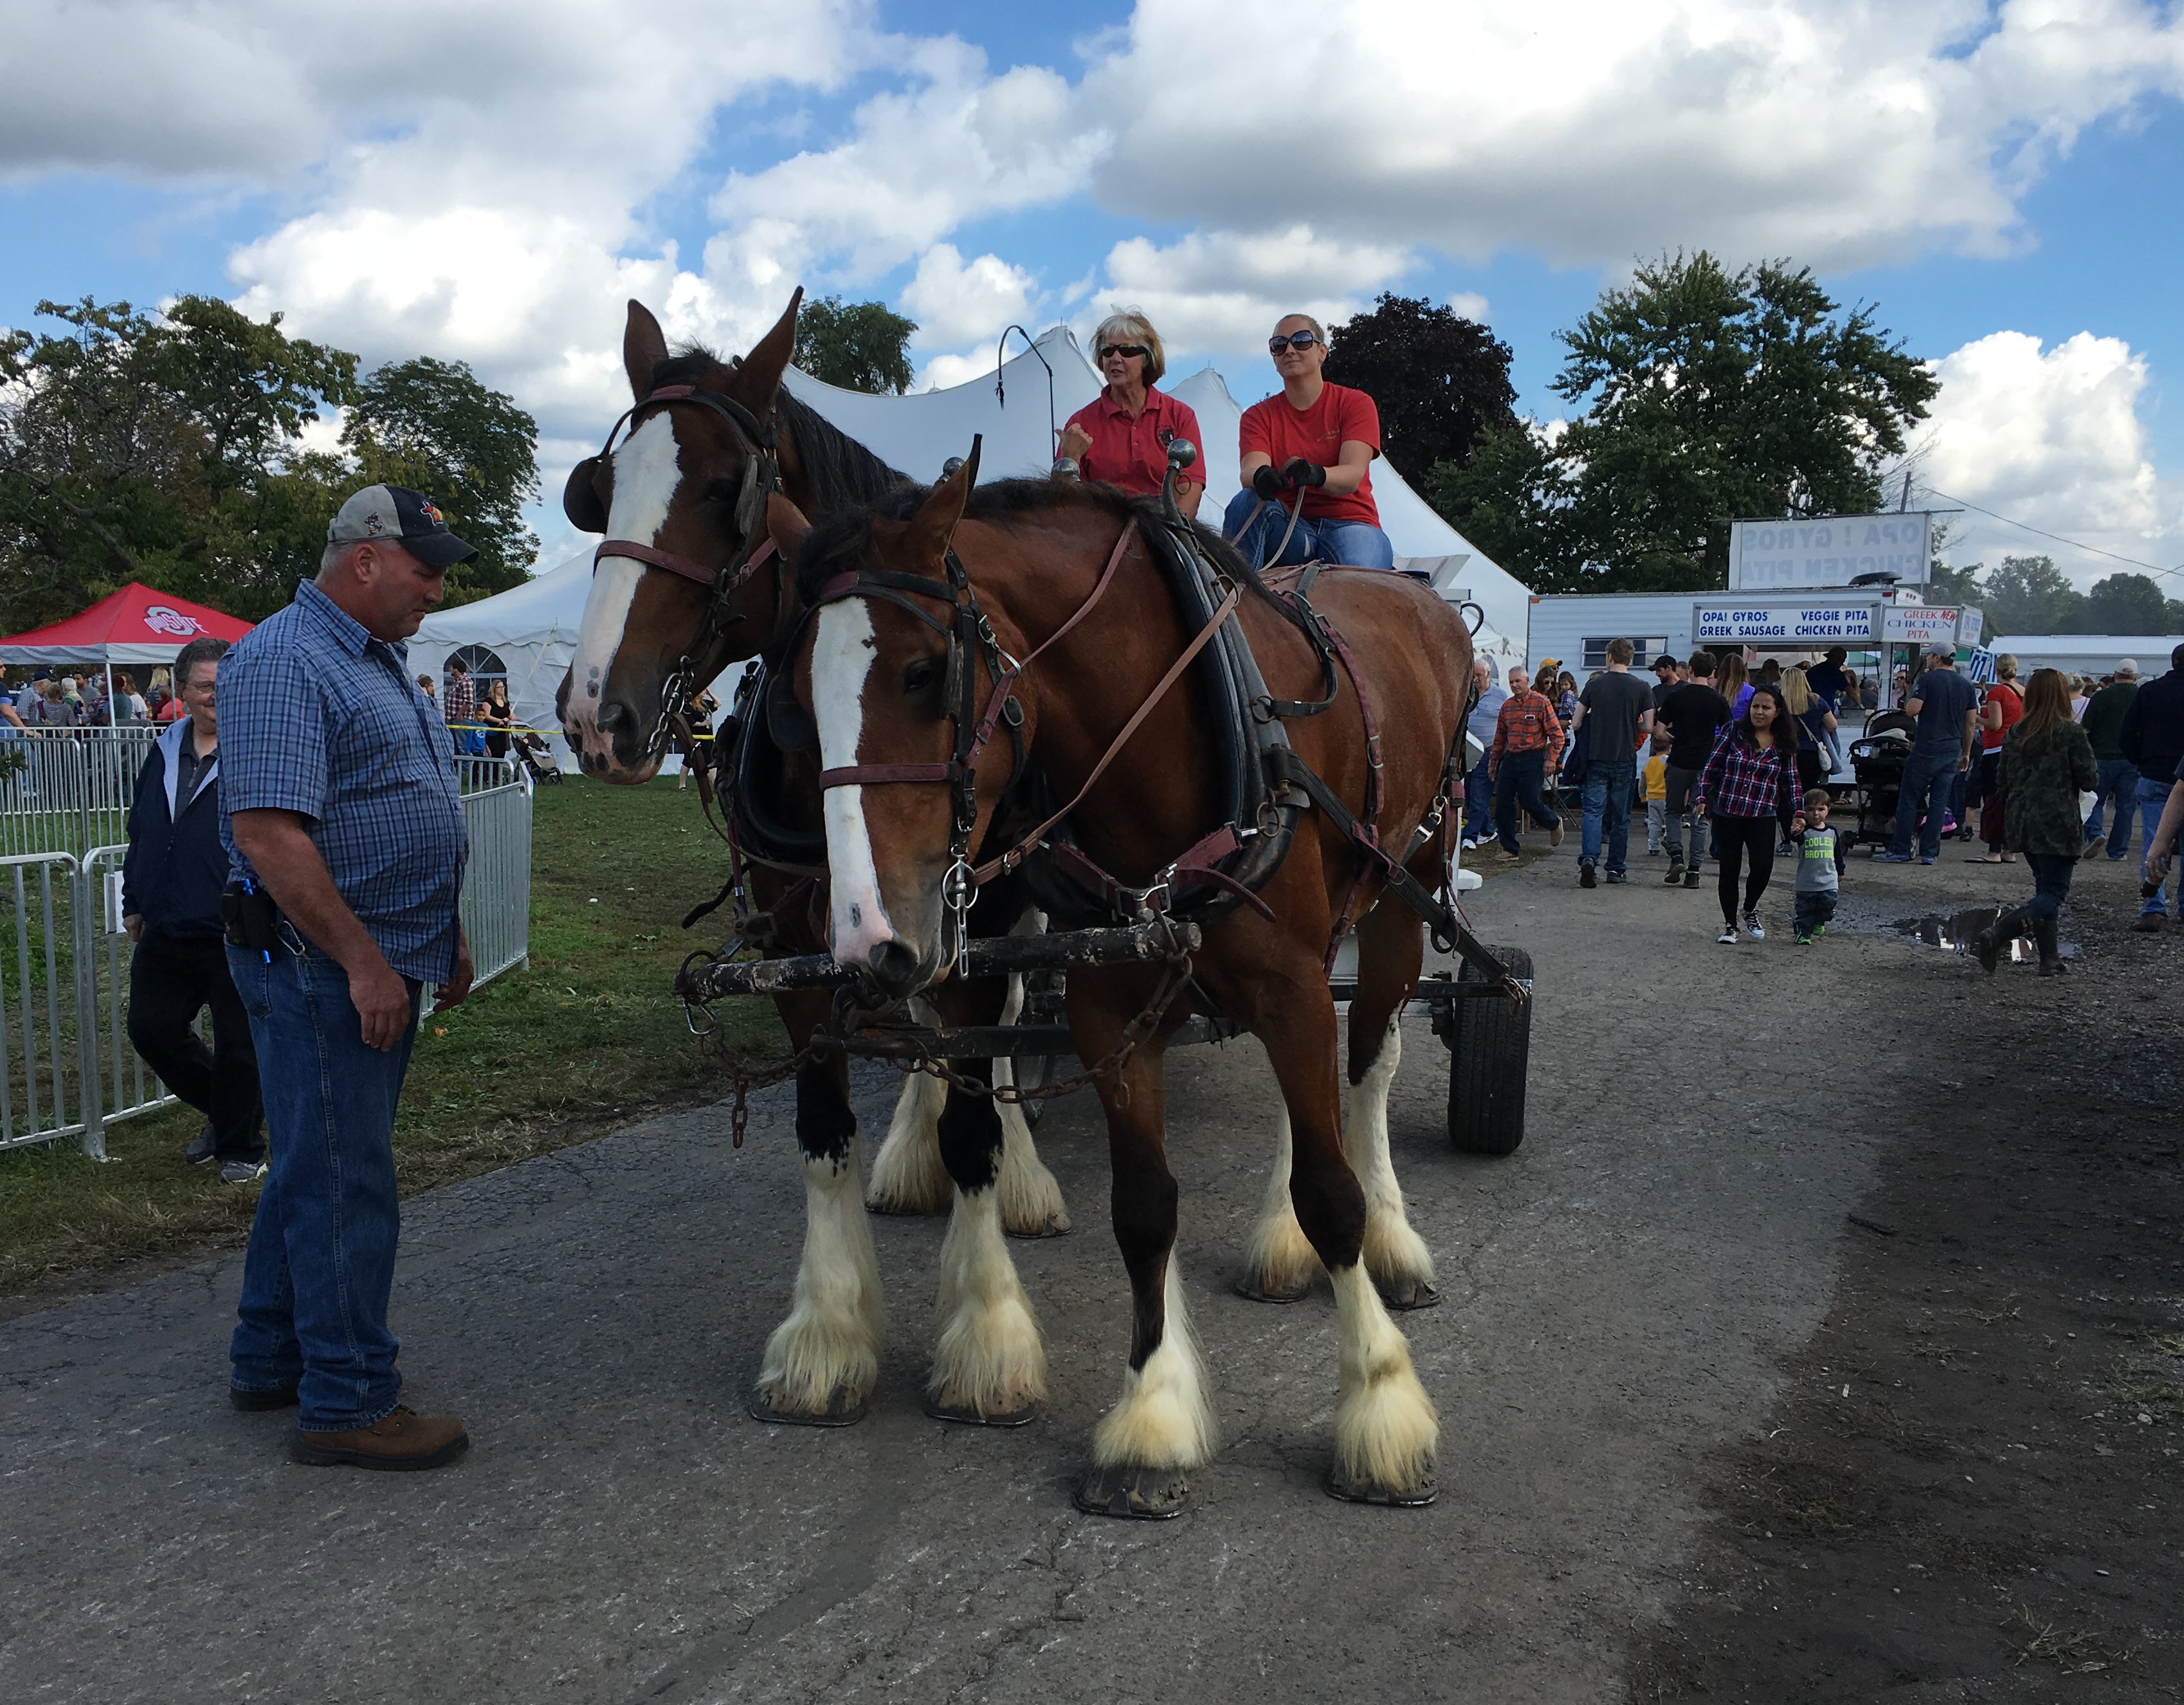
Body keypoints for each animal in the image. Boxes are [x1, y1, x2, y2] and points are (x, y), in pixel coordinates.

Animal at [559, 292, 1070, 1423]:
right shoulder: (799, 948)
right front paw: (828, 1336)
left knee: (1005, 1033)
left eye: (723, 490)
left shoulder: (972, 926)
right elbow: (823, 1129)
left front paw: (987, 1334)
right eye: (599, 491)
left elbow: (978, 1104)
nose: (594, 714)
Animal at [777, 458, 1476, 1510]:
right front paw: (1150, 1414)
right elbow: (1143, 1207)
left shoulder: (1290, 986)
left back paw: (1392, 1235)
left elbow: (1332, 1191)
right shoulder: (1111, 1007)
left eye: (921, 671)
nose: (864, 937)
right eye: (798, 698)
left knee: (1369, 1066)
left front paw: (1382, 1406)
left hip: (1405, 890)